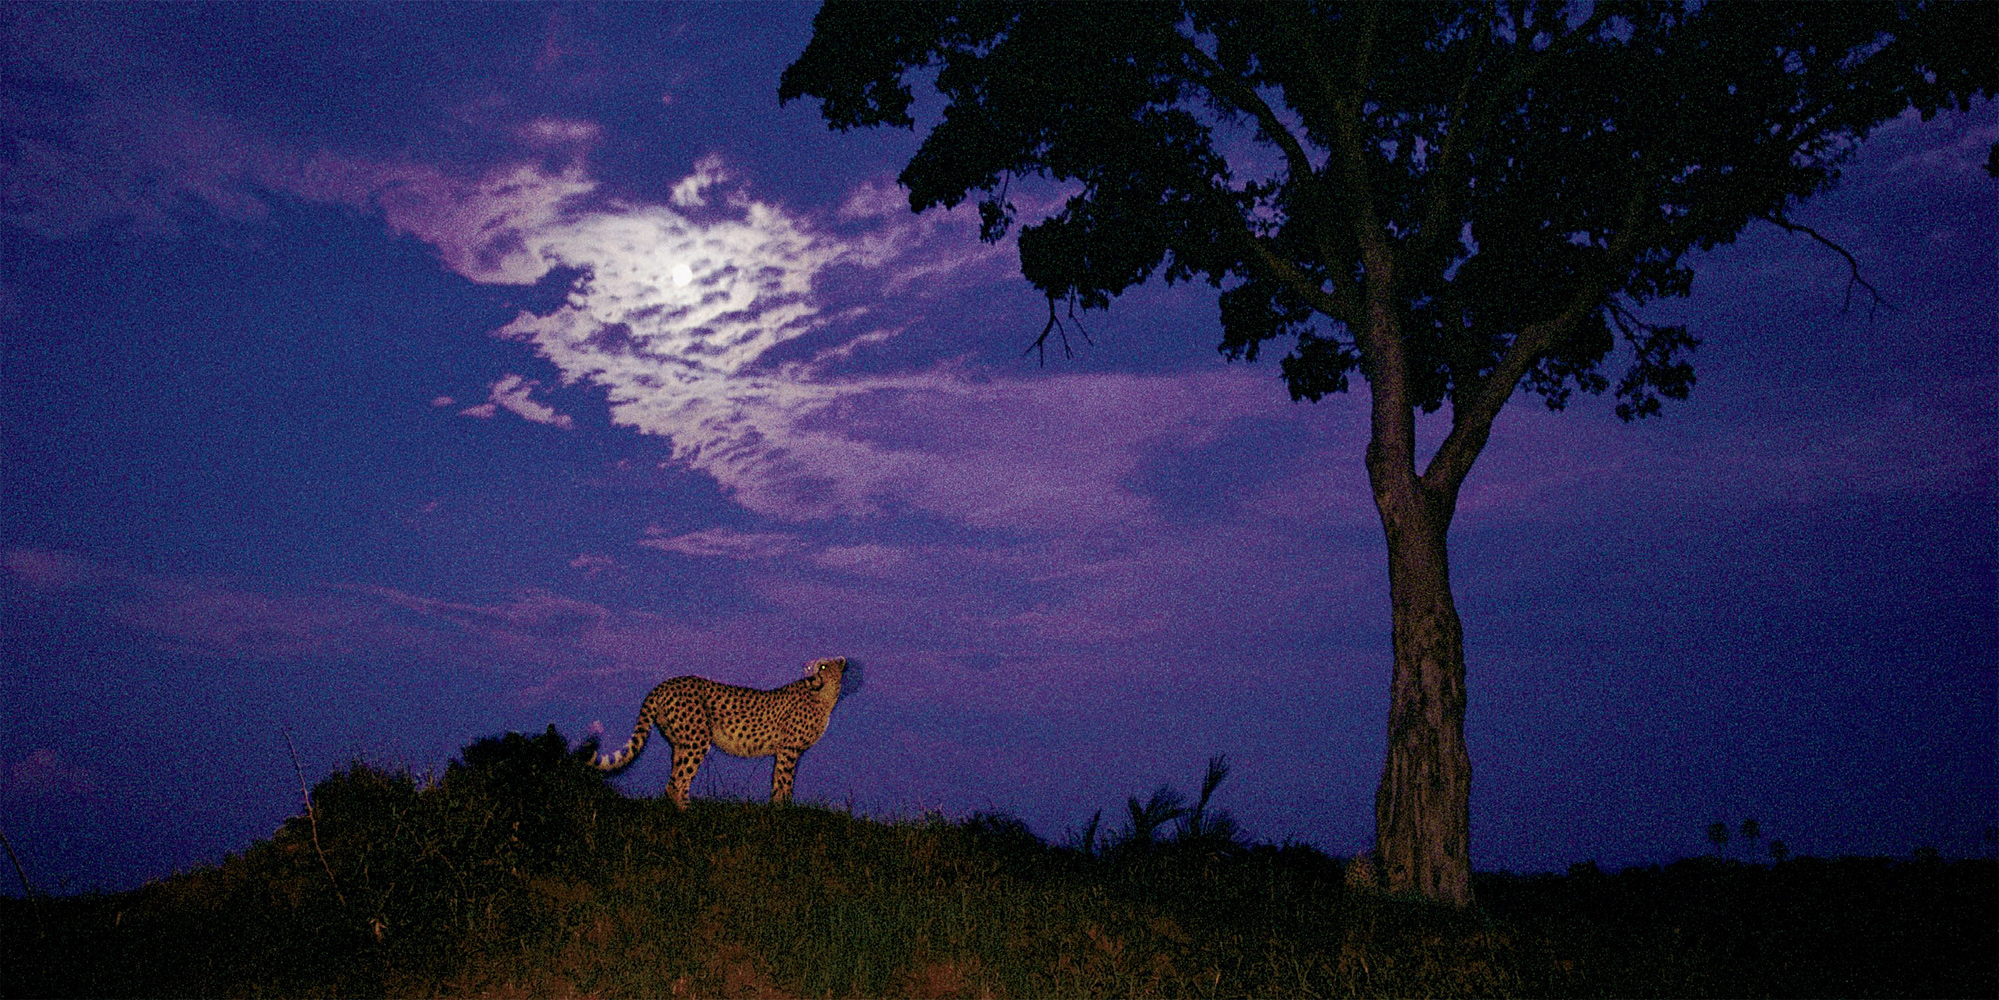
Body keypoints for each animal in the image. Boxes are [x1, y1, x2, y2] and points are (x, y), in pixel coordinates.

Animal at [587, 656, 847, 812]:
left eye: (823, 666)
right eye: (810, 667)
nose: (810, 676)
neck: (823, 696)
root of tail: (665, 683)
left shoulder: (788, 750)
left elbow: (778, 780)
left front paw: (776, 808)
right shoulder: (789, 749)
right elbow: (785, 780)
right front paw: (783, 811)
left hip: (680, 742)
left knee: (674, 780)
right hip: (697, 740)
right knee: (678, 781)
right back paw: (690, 813)